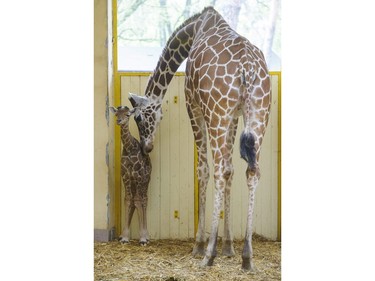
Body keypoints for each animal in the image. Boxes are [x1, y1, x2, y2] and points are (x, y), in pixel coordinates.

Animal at [110, 105, 153, 245]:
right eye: (116, 114)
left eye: (127, 114)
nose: (119, 121)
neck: (129, 148)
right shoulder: (126, 175)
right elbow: (128, 200)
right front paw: (124, 237)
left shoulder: (138, 175)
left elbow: (138, 201)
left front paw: (143, 238)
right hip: (134, 182)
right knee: (134, 199)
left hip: (146, 179)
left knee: (144, 199)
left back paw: (147, 235)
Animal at [129, 6, 270, 270]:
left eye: (140, 118)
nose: (146, 147)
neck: (194, 29)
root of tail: (247, 66)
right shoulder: (235, 116)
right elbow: (231, 171)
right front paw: (229, 246)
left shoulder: (192, 105)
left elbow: (203, 170)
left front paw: (200, 245)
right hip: (258, 115)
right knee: (251, 171)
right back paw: (247, 255)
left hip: (217, 113)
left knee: (217, 170)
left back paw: (209, 254)